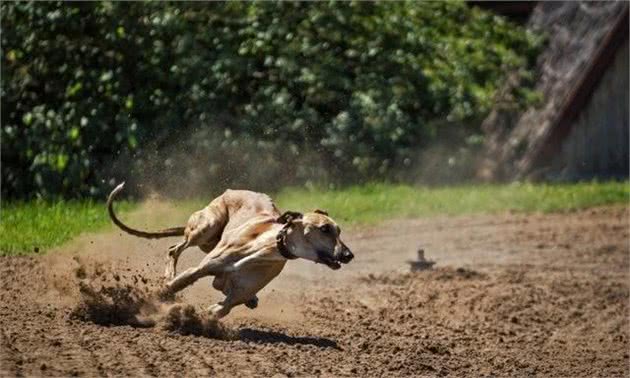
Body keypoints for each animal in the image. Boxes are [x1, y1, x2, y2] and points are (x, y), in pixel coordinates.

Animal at [108, 185, 356, 318]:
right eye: (325, 229)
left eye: (339, 231)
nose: (348, 255)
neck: (264, 248)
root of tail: (231, 190)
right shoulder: (199, 269)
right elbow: (177, 283)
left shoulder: (237, 294)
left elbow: (222, 308)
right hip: (206, 228)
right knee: (174, 249)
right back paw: (169, 273)